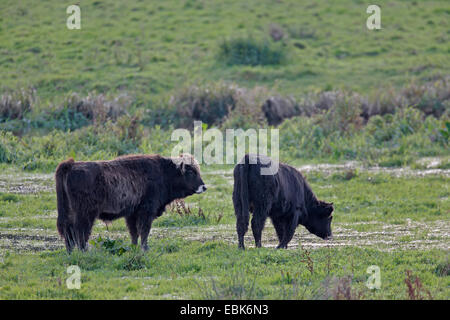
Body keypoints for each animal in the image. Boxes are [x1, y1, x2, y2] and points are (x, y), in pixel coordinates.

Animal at [55, 154, 207, 251]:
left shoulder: (132, 214)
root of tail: (71, 165)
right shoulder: (146, 212)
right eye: (191, 172)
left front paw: (134, 248)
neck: (164, 172)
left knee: (69, 233)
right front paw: (145, 249)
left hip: (69, 213)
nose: (204, 187)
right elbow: (144, 231)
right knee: (80, 233)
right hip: (85, 215)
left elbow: (134, 233)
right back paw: (84, 252)